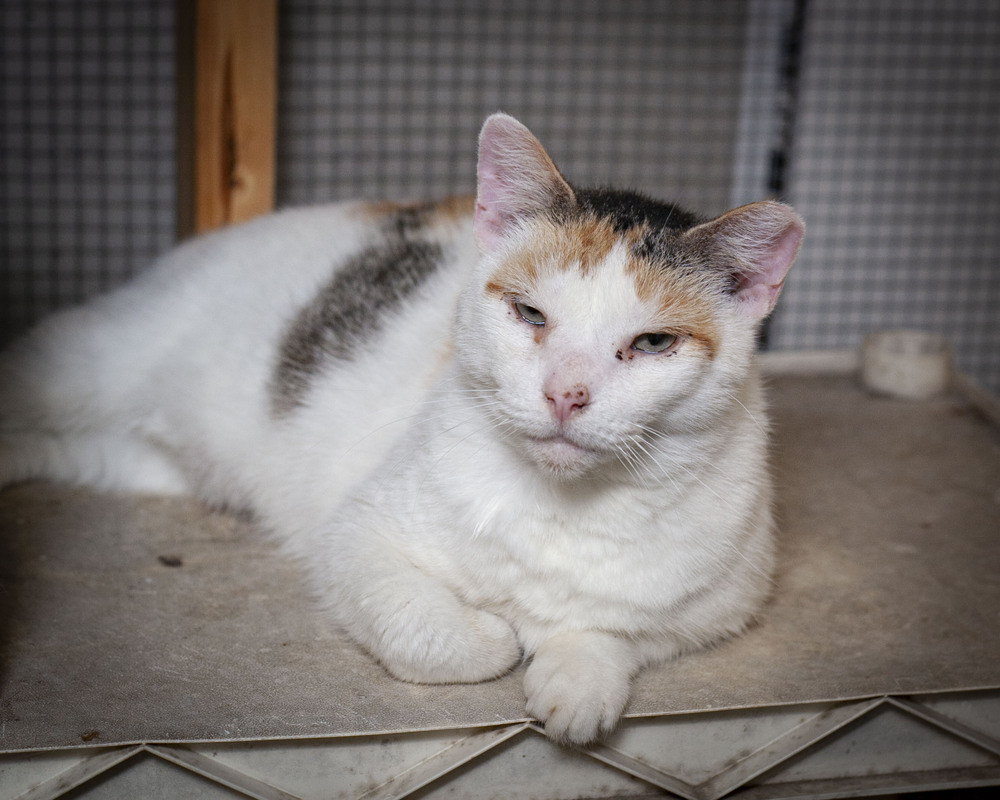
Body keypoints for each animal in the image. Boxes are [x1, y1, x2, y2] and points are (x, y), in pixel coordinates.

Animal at [0, 112, 800, 744]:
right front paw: (500, 635)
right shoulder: (356, 538)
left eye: (653, 344)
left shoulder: (710, 606)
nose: (565, 394)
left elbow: (615, 631)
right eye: (530, 315)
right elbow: (437, 636)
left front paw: (579, 682)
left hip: (128, 458)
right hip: (89, 363)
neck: (568, 509)